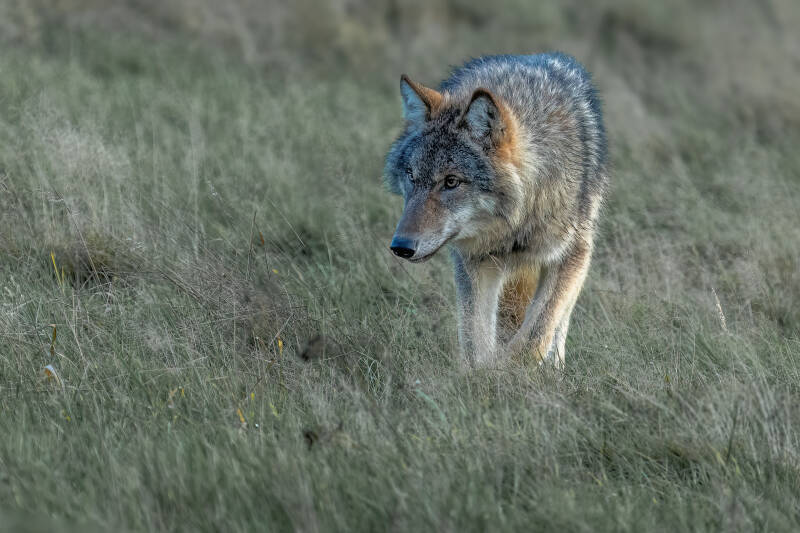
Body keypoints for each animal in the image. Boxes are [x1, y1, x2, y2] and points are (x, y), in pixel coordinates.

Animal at [383, 53, 608, 367]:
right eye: (411, 175)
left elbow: (534, 337)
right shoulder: (474, 262)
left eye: (451, 181)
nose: (401, 247)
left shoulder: (572, 254)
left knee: (556, 326)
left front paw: (510, 370)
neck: (514, 224)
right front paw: (485, 373)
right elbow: (475, 342)